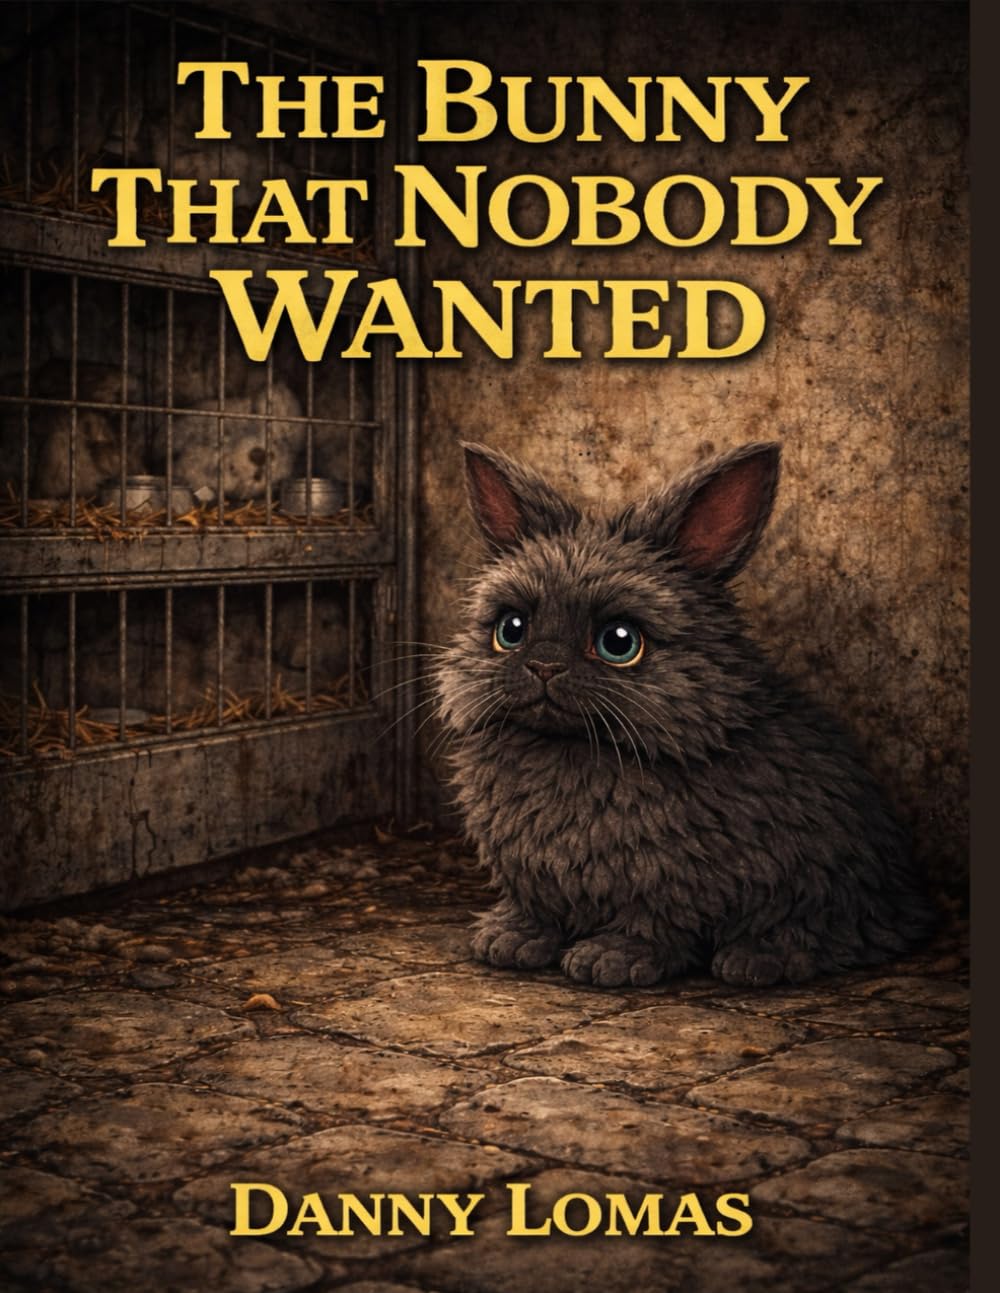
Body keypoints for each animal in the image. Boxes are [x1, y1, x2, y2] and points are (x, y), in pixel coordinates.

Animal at [434, 440, 936, 989]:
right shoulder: (534, 882)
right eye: (511, 629)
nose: (544, 665)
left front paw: (609, 961)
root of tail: (908, 904)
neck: (572, 746)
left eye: (619, 642)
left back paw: (755, 961)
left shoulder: (669, 883)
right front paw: (508, 941)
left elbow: (651, 925)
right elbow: (536, 912)